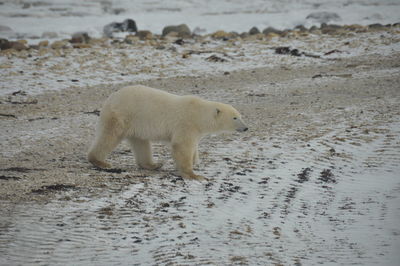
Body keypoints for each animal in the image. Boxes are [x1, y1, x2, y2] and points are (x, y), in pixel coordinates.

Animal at [88, 85, 247, 181]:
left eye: (240, 116)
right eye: (235, 117)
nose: (246, 128)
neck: (198, 114)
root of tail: (111, 98)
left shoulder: (195, 130)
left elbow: (193, 146)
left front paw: (195, 161)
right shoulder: (186, 124)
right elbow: (181, 145)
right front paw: (194, 175)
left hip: (137, 123)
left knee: (141, 144)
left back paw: (154, 164)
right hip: (121, 116)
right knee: (109, 137)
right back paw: (100, 161)